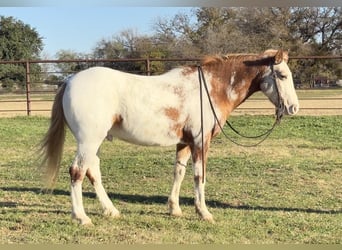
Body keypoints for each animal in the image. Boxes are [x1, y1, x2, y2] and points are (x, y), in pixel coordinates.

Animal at [40, 48, 300, 225]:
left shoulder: (184, 143)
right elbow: (199, 176)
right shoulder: (201, 142)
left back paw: (110, 210)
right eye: (282, 76)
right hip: (88, 141)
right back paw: (81, 217)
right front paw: (204, 212)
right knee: (77, 172)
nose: (293, 108)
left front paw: (175, 209)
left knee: (92, 171)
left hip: (94, 142)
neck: (210, 88)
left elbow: (179, 173)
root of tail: (69, 81)